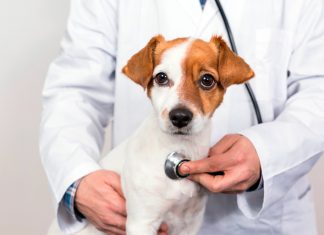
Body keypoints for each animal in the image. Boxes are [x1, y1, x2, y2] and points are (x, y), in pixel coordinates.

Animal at [48, 35, 253, 235]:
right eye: (161, 77)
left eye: (207, 80)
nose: (179, 117)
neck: (179, 149)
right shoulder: (142, 221)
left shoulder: (190, 223)